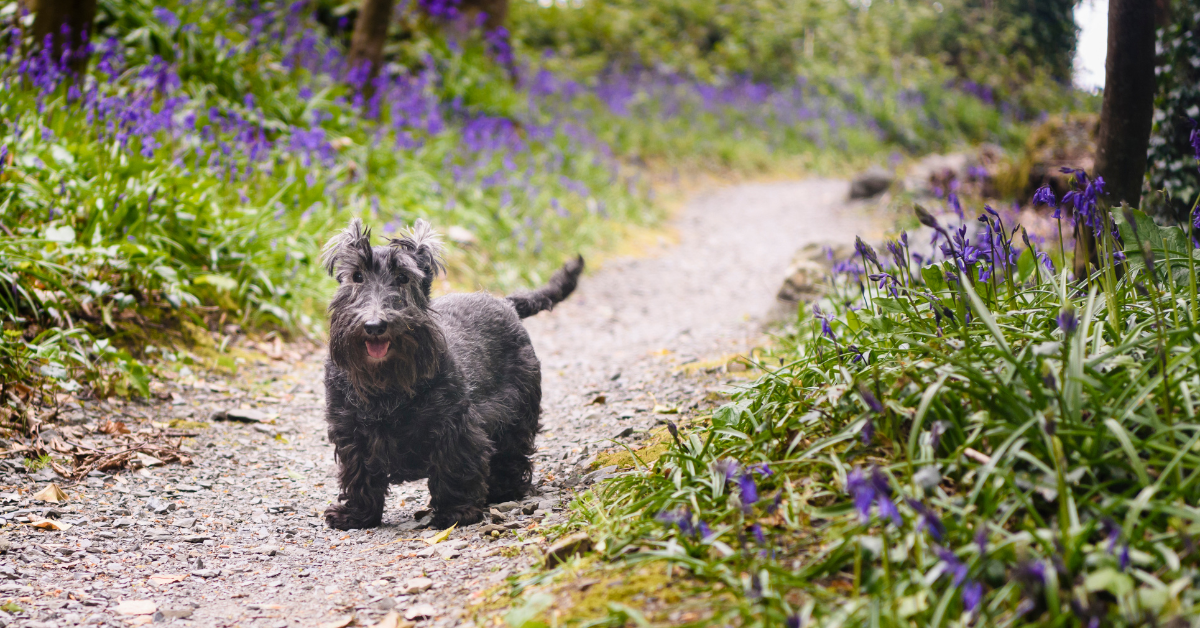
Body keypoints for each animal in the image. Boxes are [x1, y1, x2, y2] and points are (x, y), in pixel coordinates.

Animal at [319, 218, 580, 528]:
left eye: (404, 278)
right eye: (357, 276)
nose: (374, 325)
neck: (386, 383)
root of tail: (507, 303)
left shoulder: (454, 426)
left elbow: (453, 466)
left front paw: (456, 511)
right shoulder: (351, 432)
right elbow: (360, 474)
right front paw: (356, 515)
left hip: (517, 410)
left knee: (512, 451)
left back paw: (503, 490)